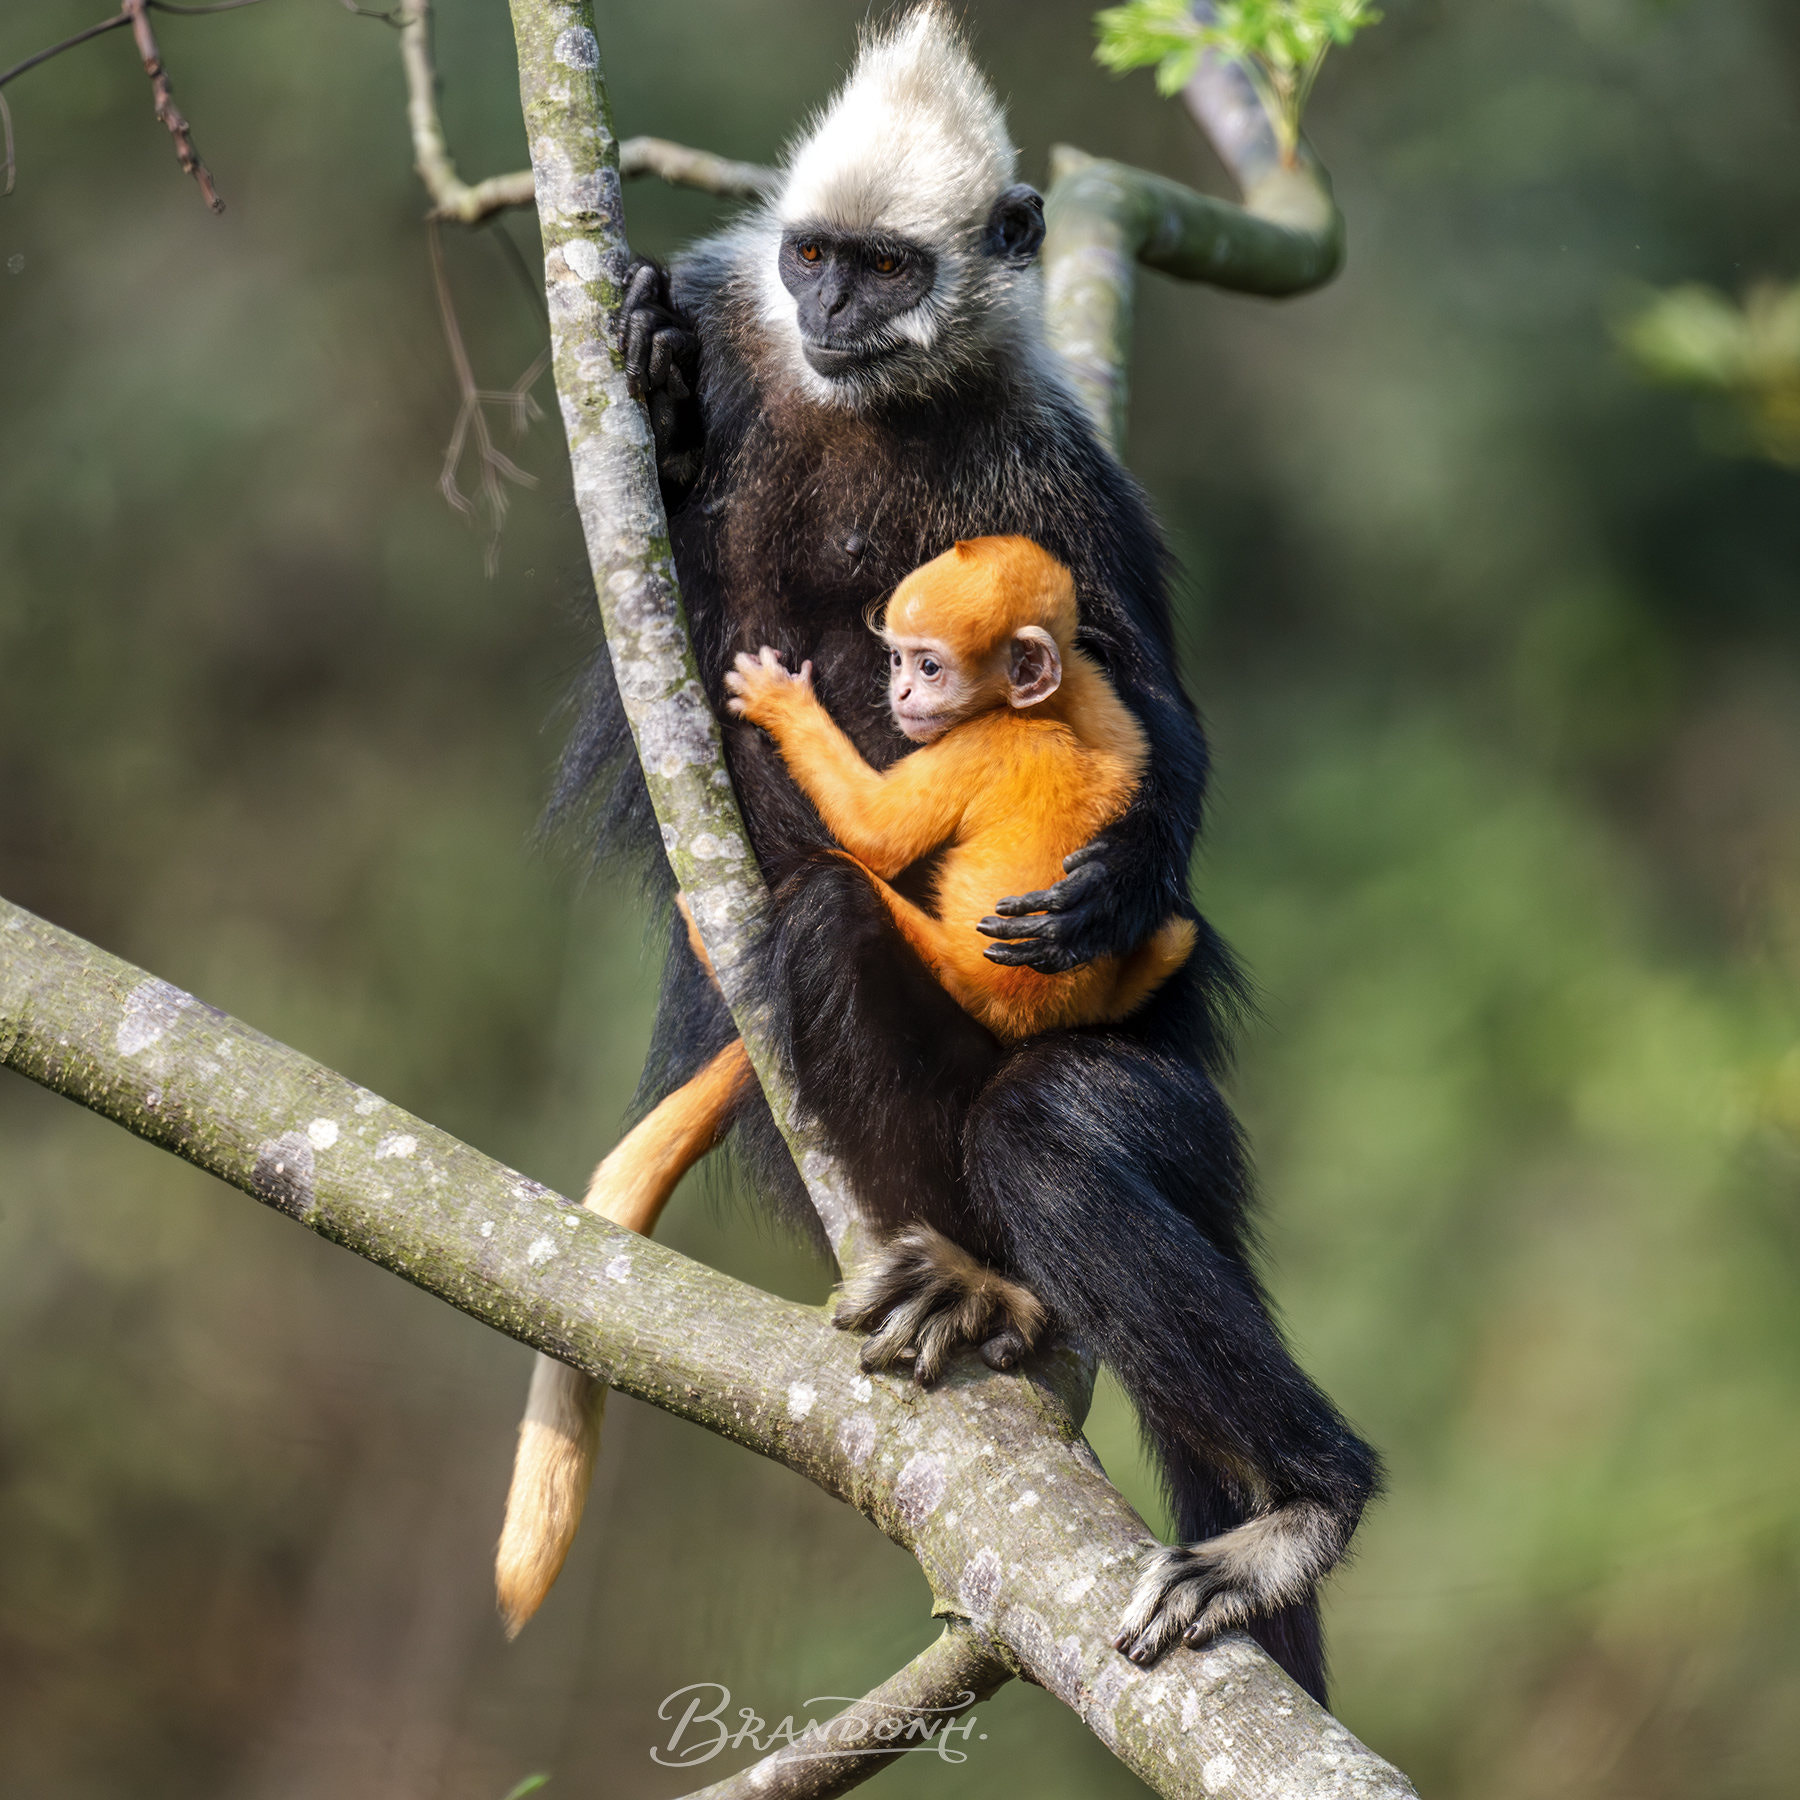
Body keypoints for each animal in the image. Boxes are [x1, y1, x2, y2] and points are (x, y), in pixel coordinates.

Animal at [723, 535, 1198, 1042]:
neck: (1041, 707)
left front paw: (778, 699)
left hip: (959, 977)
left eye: (929, 667)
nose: (902, 692)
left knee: (834, 881)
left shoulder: (980, 742)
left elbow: (873, 837)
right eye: (897, 660)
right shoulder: (1104, 697)